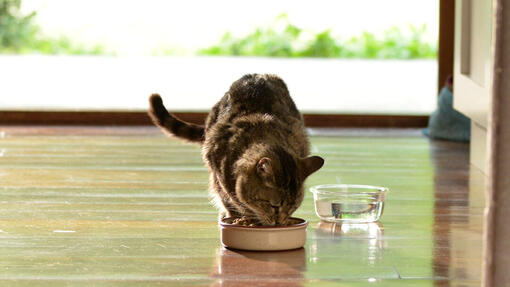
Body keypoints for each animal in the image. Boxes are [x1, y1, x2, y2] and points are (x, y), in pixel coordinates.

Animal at [147, 74, 322, 227]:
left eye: (293, 207)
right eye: (274, 206)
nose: (279, 223)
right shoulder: (219, 179)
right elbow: (230, 202)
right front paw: (242, 217)